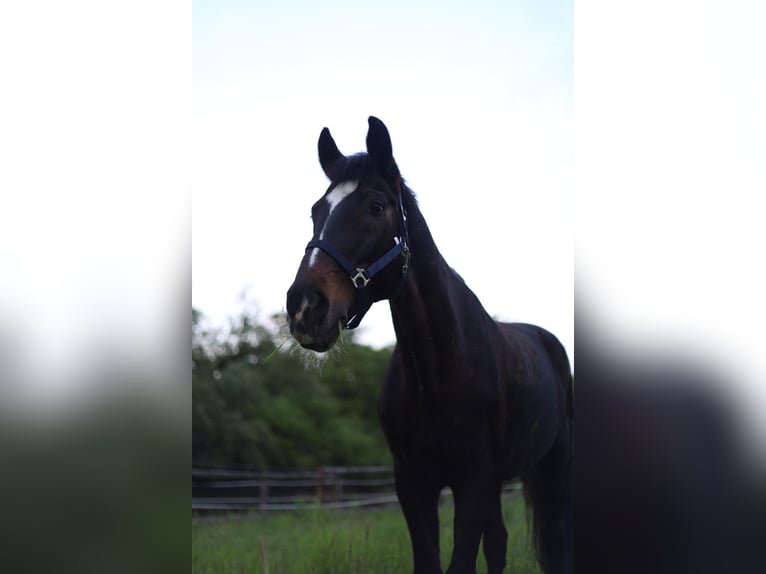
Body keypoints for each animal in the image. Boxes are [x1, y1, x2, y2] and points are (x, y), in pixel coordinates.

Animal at [288, 118, 576, 574]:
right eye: (316, 210)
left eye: (375, 206)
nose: (304, 306)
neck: (438, 369)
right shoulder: (413, 482)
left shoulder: (472, 479)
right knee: (499, 542)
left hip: (552, 469)